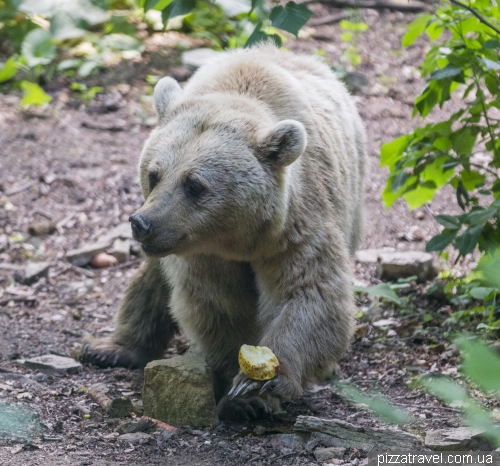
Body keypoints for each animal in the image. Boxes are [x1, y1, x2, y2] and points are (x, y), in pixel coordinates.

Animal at [80, 43, 366, 420]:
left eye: (194, 185)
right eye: (154, 174)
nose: (141, 223)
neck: (237, 240)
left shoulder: (295, 229)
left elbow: (309, 293)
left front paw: (262, 385)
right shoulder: (200, 252)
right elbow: (218, 306)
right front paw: (242, 392)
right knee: (150, 282)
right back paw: (110, 348)